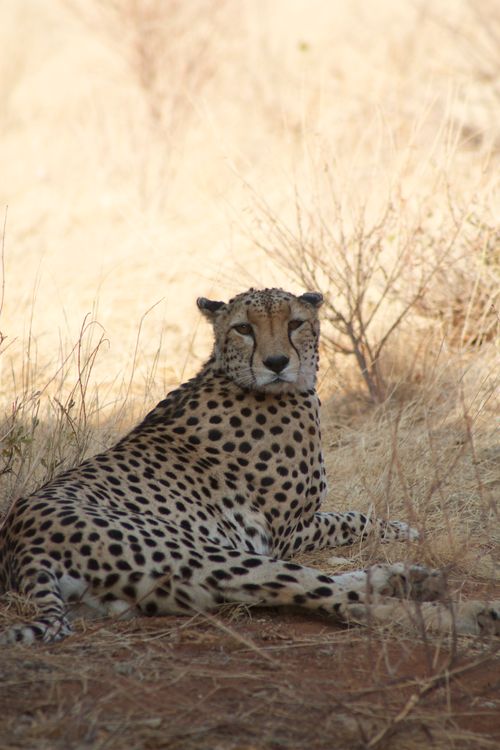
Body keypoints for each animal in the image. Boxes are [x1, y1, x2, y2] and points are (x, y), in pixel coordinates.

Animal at [0, 287, 498, 644]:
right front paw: (402, 530)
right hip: (207, 556)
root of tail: (18, 542)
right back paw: (466, 612)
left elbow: (352, 515)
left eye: (295, 323)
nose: (276, 362)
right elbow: (352, 516)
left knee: (327, 590)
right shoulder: (286, 532)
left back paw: (410, 577)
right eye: (243, 328)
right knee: (336, 597)